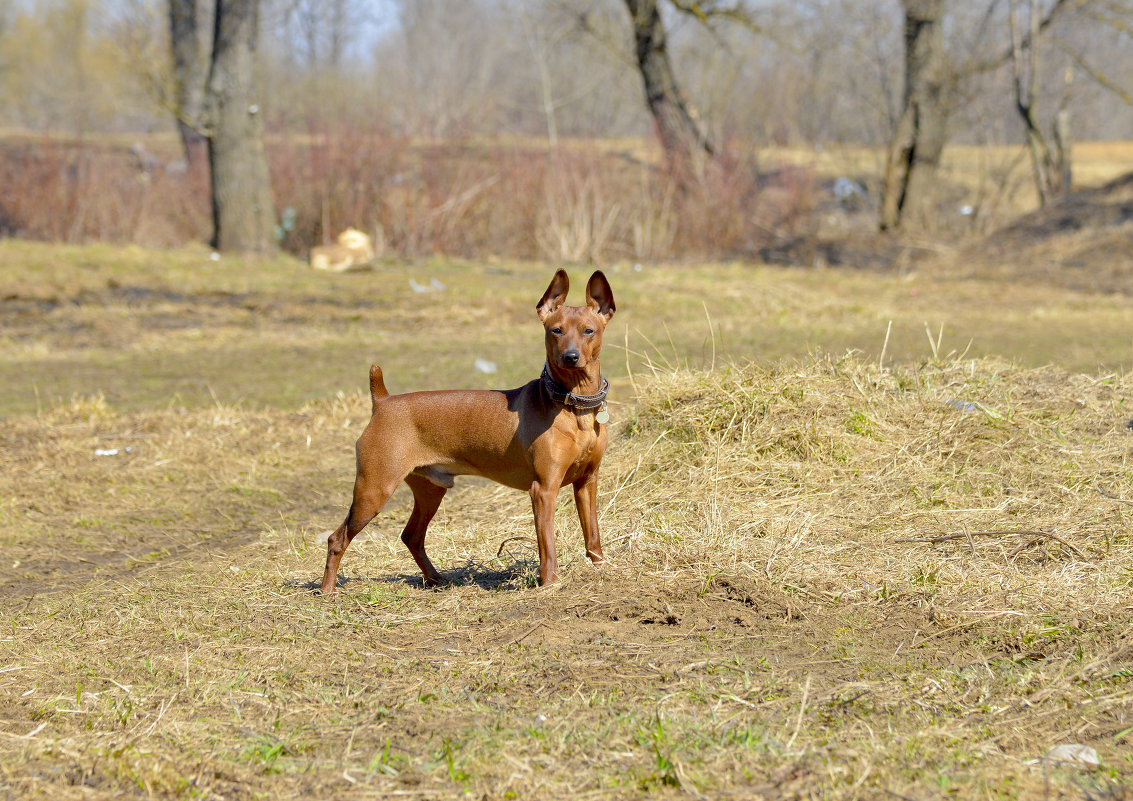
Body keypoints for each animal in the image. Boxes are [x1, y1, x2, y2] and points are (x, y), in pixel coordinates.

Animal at [319, 273, 616, 593]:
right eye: (555, 330)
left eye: (589, 330)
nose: (570, 357)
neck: (574, 406)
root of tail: (382, 401)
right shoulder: (544, 489)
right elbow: (547, 544)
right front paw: (550, 584)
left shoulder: (587, 481)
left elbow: (592, 532)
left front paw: (602, 567)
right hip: (374, 490)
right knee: (337, 538)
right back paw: (327, 591)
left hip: (430, 490)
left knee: (412, 535)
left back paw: (436, 579)